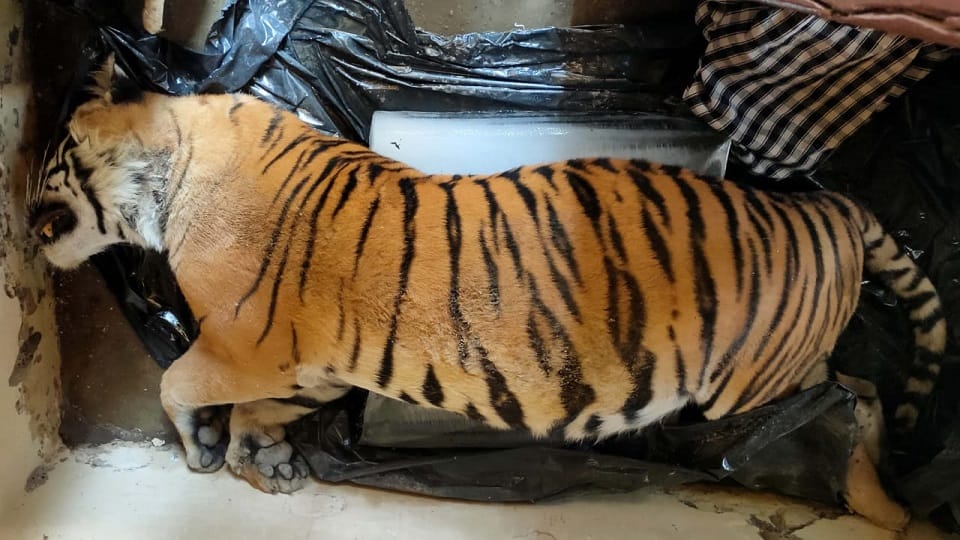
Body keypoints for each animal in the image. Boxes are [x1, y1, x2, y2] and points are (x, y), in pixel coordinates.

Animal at [27, 56, 945, 531]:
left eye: (51, 158)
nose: (22, 210)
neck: (180, 155)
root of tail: (824, 205)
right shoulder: (305, 365)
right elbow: (263, 409)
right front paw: (267, 461)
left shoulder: (243, 344)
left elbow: (176, 380)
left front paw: (204, 451)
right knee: (853, 394)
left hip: (754, 380)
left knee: (851, 405)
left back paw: (884, 508)